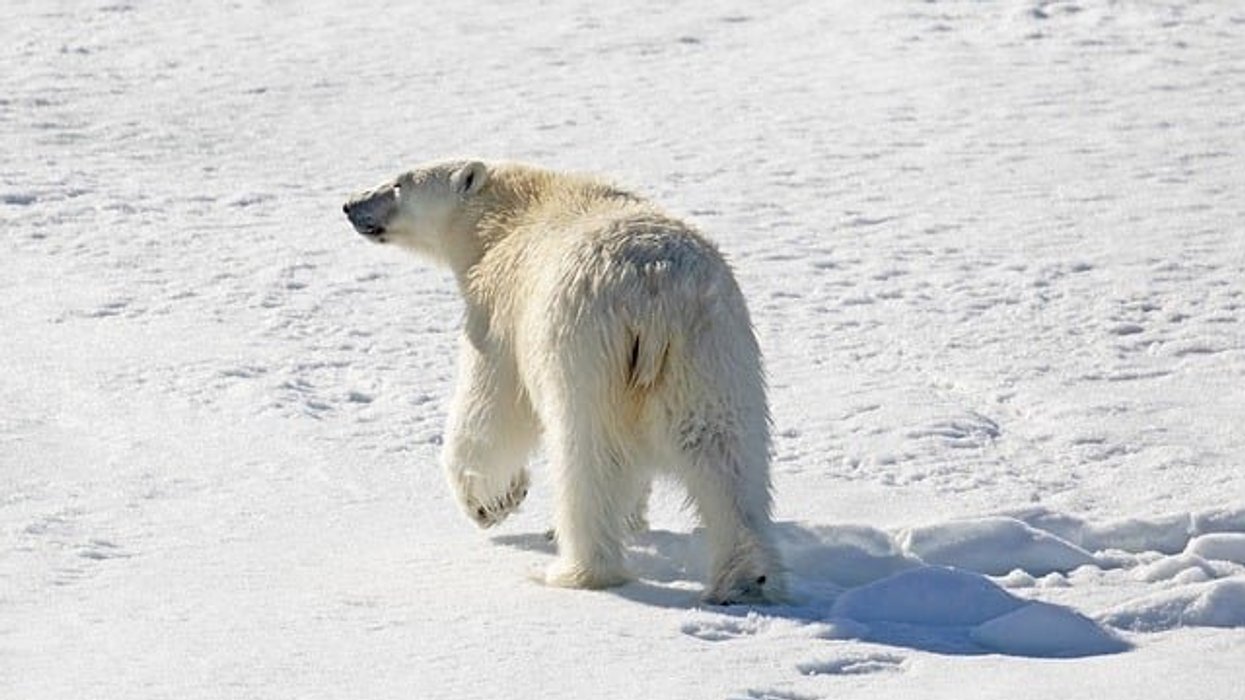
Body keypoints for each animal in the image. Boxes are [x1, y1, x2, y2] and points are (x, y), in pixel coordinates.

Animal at [343, 159, 782, 604]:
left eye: (398, 184)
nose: (350, 205)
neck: (510, 215)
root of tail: (653, 291)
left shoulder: (499, 312)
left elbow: (489, 411)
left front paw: (493, 502)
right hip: (710, 352)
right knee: (725, 453)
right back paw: (746, 578)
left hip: (587, 351)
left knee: (589, 459)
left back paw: (575, 570)